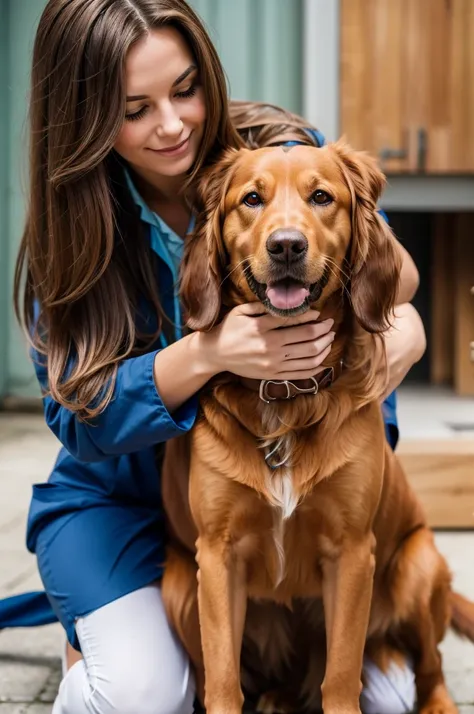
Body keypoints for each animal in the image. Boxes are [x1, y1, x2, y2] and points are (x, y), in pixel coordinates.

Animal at [160, 142, 474, 712]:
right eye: (252, 199)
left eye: (322, 197)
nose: (286, 245)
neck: (286, 394)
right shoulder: (216, 557)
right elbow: (222, 676)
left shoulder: (351, 554)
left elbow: (342, 673)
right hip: (178, 584)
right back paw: (279, 697)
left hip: (419, 566)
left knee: (431, 664)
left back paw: (438, 702)